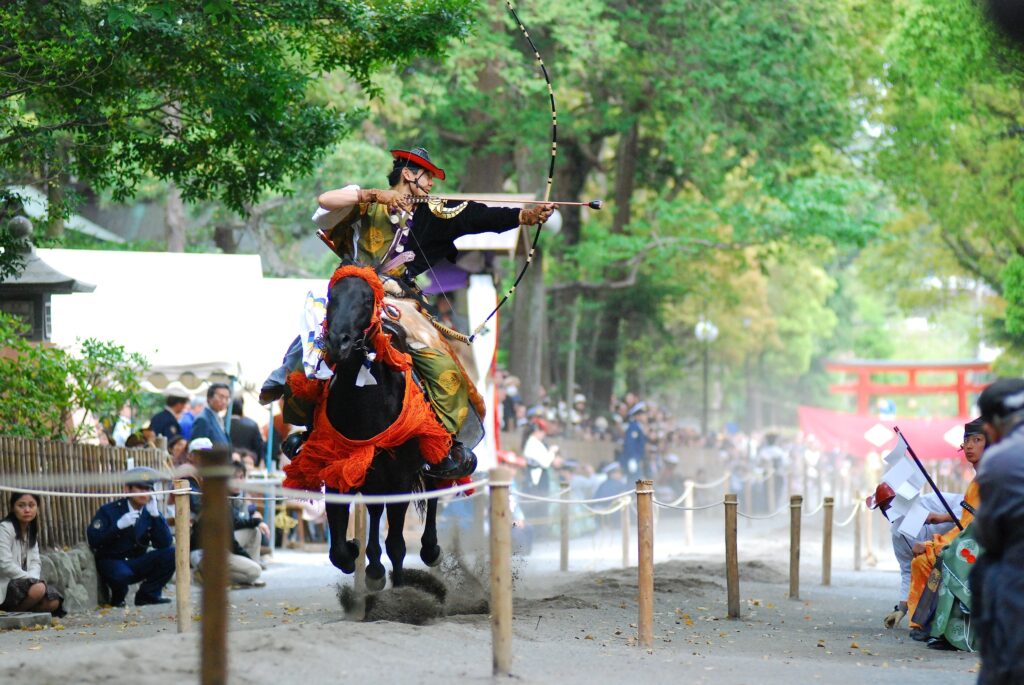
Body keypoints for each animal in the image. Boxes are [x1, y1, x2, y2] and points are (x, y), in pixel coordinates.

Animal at [315, 266, 444, 589]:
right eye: (331, 297)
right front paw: (353, 552)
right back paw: (372, 566)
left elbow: (397, 543)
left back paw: (430, 549)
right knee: (375, 510)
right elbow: (338, 550)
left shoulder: (401, 476)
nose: (338, 342)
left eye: (366, 300)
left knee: (435, 489)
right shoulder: (340, 469)